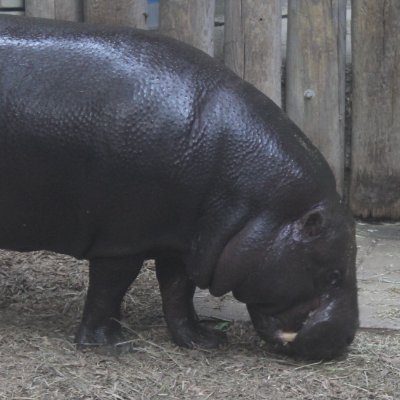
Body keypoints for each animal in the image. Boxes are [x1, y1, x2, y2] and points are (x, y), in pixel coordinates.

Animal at [0, 14, 360, 360]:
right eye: (334, 274)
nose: (347, 338)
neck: (258, 204)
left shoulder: (183, 240)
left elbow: (178, 293)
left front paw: (206, 341)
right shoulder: (121, 241)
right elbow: (109, 290)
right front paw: (111, 346)